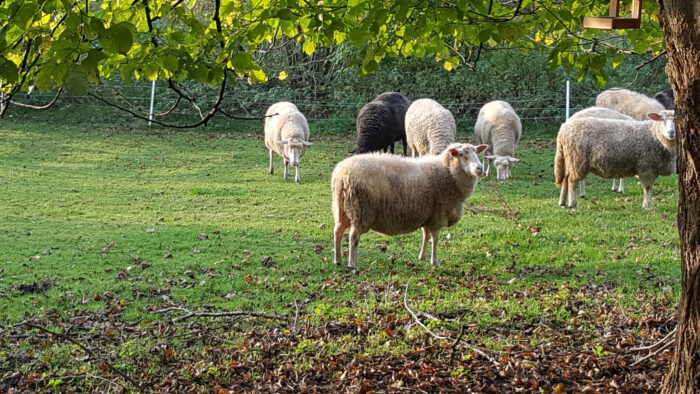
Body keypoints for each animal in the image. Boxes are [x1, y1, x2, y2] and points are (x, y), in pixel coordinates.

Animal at [332, 142, 486, 270]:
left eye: (476, 152)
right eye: (462, 155)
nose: (480, 168)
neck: (447, 172)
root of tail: (342, 175)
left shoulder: (427, 214)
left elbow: (426, 235)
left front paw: (421, 257)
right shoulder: (437, 216)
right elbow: (435, 239)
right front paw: (434, 261)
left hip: (343, 209)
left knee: (338, 231)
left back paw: (338, 260)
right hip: (361, 211)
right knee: (353, 237)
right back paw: (352, 265)